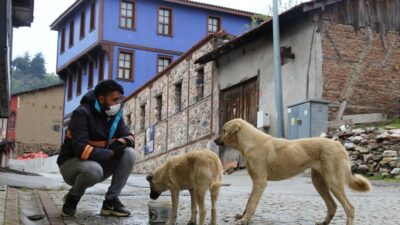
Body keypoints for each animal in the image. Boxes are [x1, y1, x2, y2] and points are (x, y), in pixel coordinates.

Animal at [214, 118, 374, 225]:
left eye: (224, 130)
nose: (215, 141)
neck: (250, 142)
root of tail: (339, 144)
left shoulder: (260, 182)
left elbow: (252, 202)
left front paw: (245, 219)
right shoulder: (257, 183)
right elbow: (249, 201)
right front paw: (243, 216)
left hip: (333, 182)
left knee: (349, 208)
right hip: (319, 182)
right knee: (332, 205)